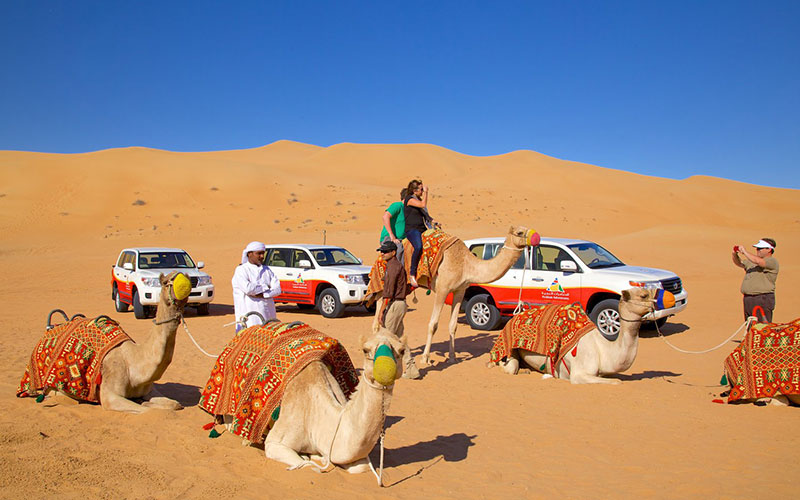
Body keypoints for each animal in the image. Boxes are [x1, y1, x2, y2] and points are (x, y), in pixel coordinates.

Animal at [264, 308, 406, 472]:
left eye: (402, 350)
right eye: (365, 350)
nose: (385, 370)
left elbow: (361, 467)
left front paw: (317, 456)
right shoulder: (275, 442)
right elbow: (306, 465)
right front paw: (310, 457)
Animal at [418, 226, 536, 364]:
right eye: (519, 232)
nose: (536, 237)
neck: (466, 265)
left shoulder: (460, 290)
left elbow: (453, 325)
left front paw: (452, 357)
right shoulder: (443, 288)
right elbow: (433, 324)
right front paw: (425, 358)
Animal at [494, 288, 676, 384]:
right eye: (643, 295)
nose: (669, 297)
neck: (604, 351)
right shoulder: (579, 373)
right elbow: (617, 381)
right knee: (509, 367)